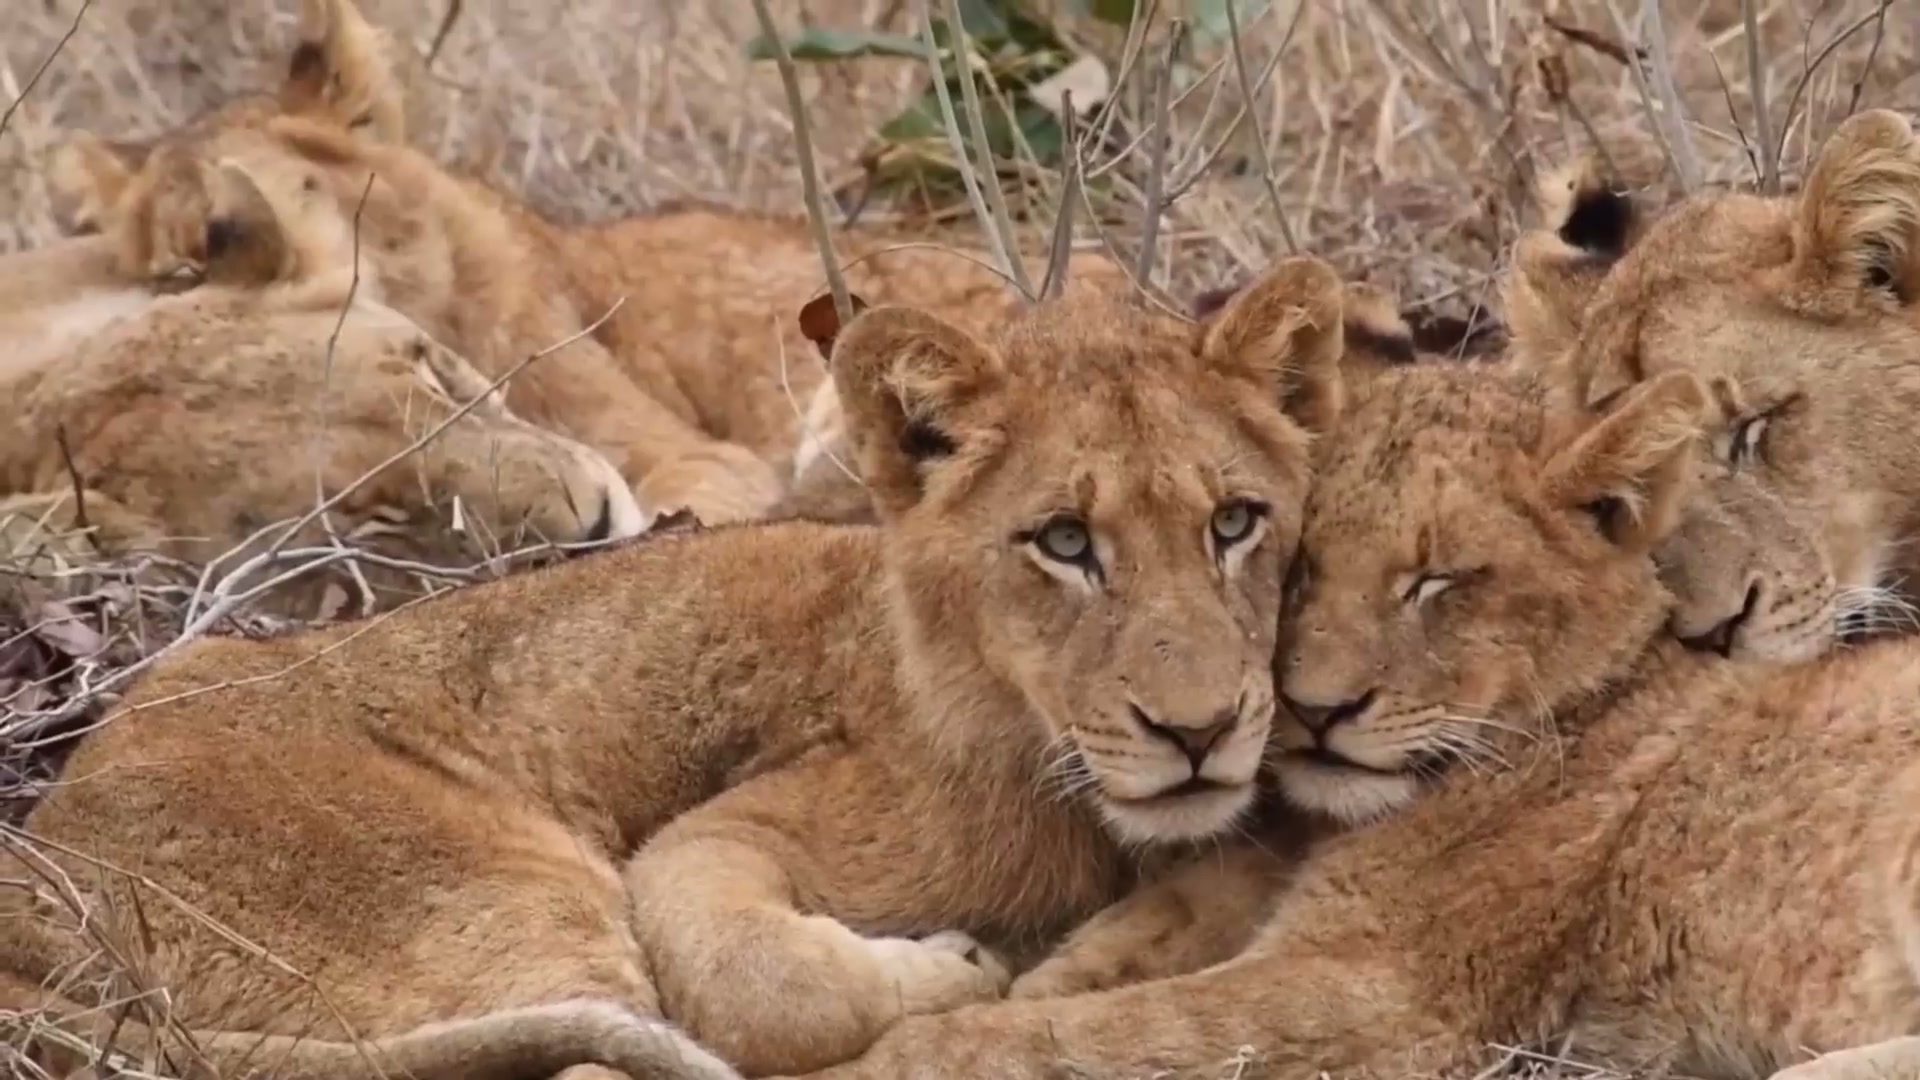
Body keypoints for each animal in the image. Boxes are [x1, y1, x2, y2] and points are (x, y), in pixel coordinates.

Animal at [1, 257, 1344, 1079]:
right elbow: (750, 969)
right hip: (501, 889)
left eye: (1236, 523)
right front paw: (959, 967)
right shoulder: (727, 833)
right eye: (1065, 544)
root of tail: (41, 859)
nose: (1198, 732)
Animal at [782, 272, 1920, 1080]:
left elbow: (1081, 1039)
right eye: (1302, 563)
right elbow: (1105, 965)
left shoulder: (1392, 996)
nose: (1317, 711)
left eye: (1438, 581)